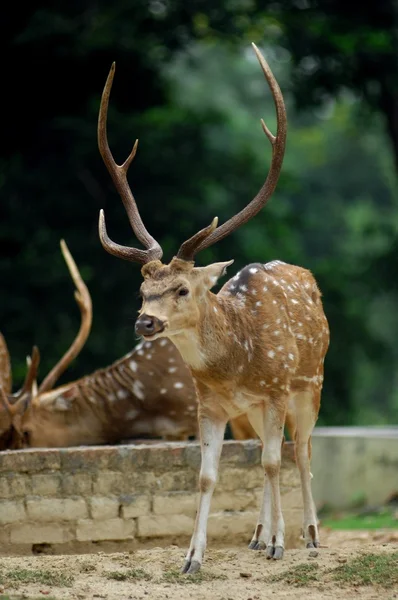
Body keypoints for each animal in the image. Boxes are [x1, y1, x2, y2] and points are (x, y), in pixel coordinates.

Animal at [97, 43, 330, 572]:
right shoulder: (210, 404)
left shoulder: (276, 389)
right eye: (142, 290)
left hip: (311, 382)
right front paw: (192, 558)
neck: (237, 365)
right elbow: (207, 476)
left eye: (183, 289)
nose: (146, 322)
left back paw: (306, 535)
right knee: (271, 454)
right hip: (258, 409)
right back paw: (258, 536)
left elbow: (274, 461)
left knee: (301, 451)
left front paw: (282, 544)